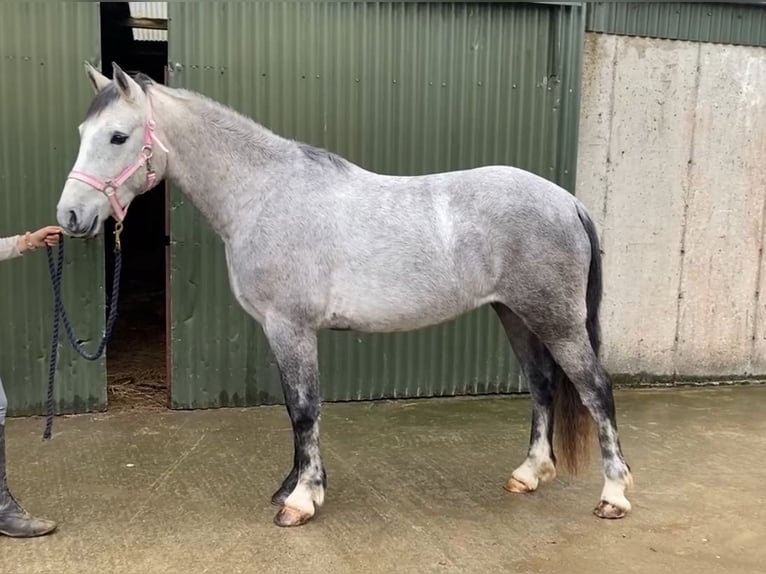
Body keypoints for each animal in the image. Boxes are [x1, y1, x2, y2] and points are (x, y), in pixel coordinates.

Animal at [55, 62, 633, 528]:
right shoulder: (281, 330)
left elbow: (305, 409)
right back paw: (529, 474)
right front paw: (291, 487)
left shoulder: (290, 327)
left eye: (117, 137)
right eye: (81, 131)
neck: (264, 194)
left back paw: (614, 495)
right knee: (541, 385)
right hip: (515, 314)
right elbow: (294, 409)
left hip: (556, 320)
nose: (70, 216)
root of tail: (568, 202)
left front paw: (301, 501)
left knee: (595, 390)